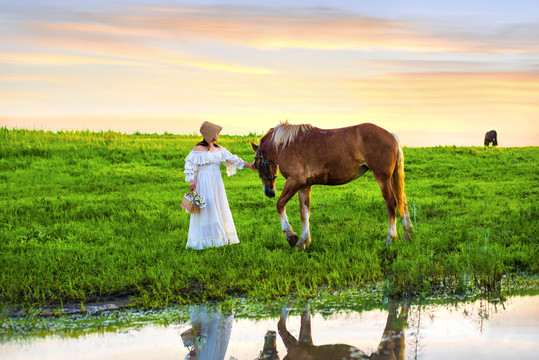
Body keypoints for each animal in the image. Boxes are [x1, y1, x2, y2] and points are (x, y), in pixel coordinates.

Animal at [252, 121, 414, 248]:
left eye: (257, 165)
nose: (269, 192)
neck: (287, 145)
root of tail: (390, 135)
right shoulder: (304, 186)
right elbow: (304, 213)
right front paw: (303, 241)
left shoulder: (295, 181)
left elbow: (280, 204)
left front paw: (291, 236)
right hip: (390, 178)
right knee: (402, 200)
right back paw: (407, 233)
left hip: (382, 178)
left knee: (391, 203)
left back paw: (390, 238)